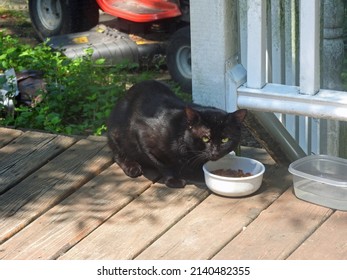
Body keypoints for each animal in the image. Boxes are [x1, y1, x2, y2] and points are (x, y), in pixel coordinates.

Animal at [108, 79, 247, 188]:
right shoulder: (144, 138)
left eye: (225, 140)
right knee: (117, 155)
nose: (215, 152)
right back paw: (132, 167)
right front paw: (173, 180)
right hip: (116, 135)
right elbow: (164, 164)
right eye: (205, 138)